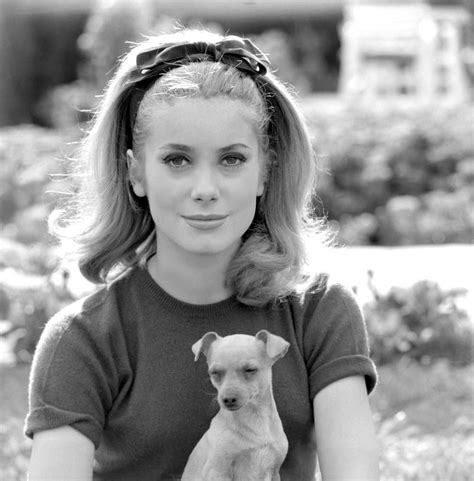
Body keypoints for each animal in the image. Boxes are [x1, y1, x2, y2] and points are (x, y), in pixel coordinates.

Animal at [182, 330, 288, 480]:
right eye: (214, 373)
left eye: (250, 370)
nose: (228, 399)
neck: (255, 417)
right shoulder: (217, 471)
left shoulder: (274, 472)